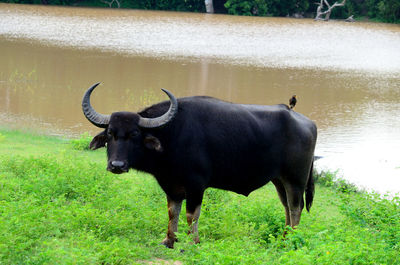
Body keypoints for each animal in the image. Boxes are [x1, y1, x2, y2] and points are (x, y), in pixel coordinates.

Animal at [83, 83, 318, 248]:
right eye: (110, 133)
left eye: (134, 134)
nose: (117, 165)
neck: (172, 135)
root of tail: (308, 123)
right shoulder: (171, 185)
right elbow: (172, 211)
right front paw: (169, 240)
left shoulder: (196, 185)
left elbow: (191, 214)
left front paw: (192, 242)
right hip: (278, 179)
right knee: (286, 206)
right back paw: (284, 237)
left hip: (295, 179)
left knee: (295, 208)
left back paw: (290, 240)